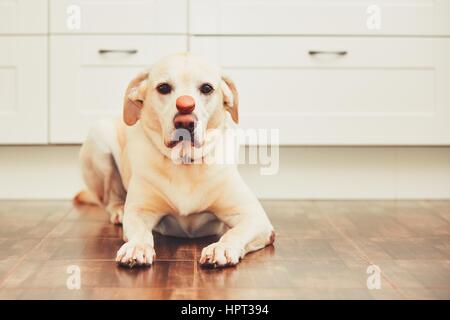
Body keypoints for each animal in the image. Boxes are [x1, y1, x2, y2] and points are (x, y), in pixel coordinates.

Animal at [74, 53, 274, 268]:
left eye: (207, 88)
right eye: (163, 88)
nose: (185, 121)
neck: (184, 163)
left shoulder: (255, 217)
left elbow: (234, 232)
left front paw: (222, 247)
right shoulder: (140, 210)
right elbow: (139, 231)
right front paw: (137, 247)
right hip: (98, 138)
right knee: (110, 197)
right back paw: (119, 210)